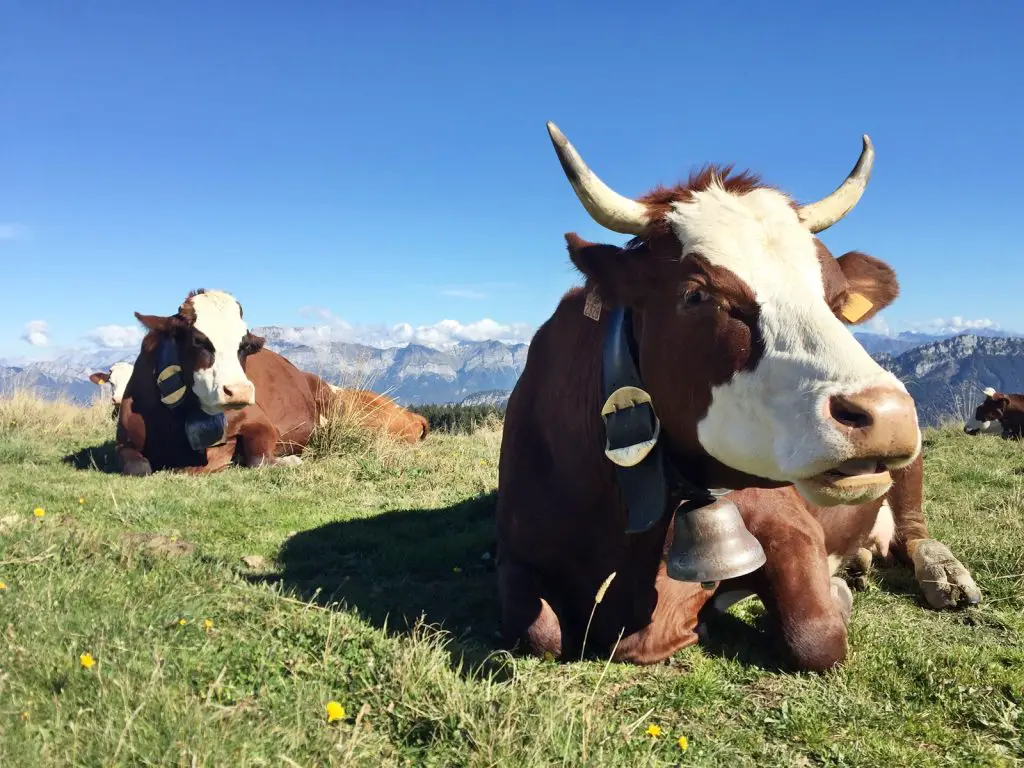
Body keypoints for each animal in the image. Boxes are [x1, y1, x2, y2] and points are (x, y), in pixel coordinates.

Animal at [115, 290, 423, 479]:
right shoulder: (123, 442)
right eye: (198, 340)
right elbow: (138, 467)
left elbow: (258, 459)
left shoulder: (260, 422)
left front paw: (286, 461)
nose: (239, 391)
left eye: (244, 345)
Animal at [499, 121, 962, 671]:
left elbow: (817, 635)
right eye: (697, 294)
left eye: (836, 300)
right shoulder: (514, 553)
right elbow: (539, 632)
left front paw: (833, 595)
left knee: (912, 527)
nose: (887, 414)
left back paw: (942, 573)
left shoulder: (789, 524)